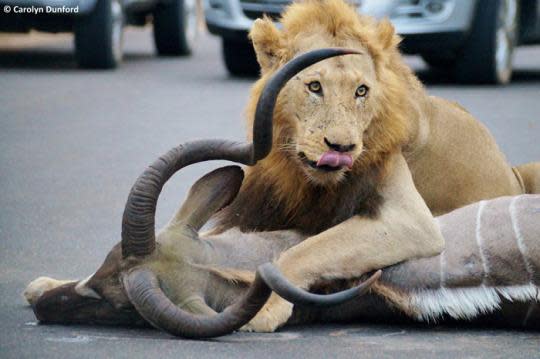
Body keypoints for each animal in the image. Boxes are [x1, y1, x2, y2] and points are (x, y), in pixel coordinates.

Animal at [209, 0, 536, 332]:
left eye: (361, 91)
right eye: (314, 86)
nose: (341, 148)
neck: (301, 176)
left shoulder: (412, 220)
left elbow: (304, 250)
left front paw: (265, 307)